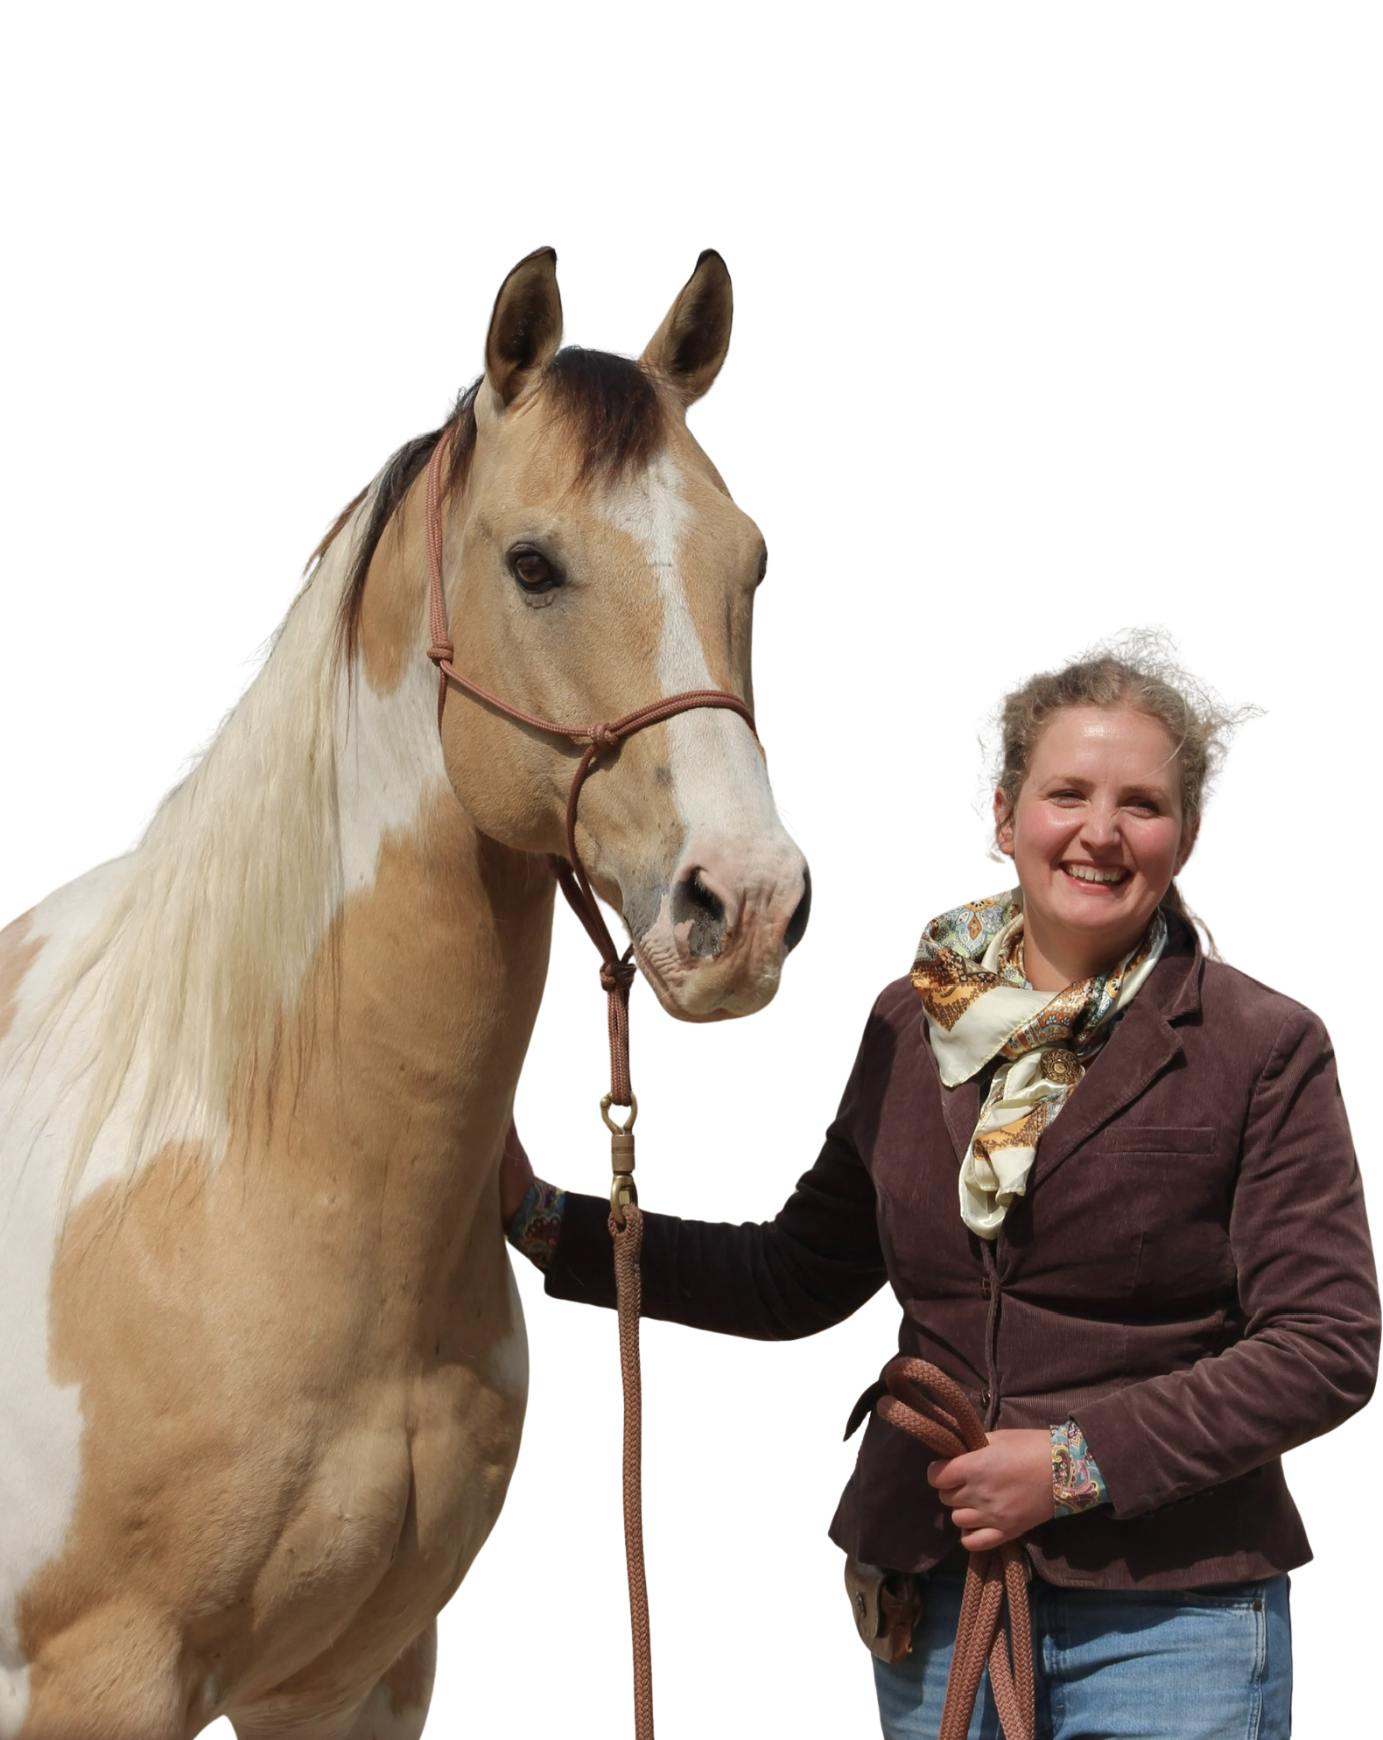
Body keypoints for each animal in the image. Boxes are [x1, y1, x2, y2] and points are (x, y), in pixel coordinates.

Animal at [0, 244, 811, 1740]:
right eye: (533, 564)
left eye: (752, 563)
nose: (745, 906)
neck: (224, 1171)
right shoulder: (96, 1687)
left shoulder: (358, 1681)